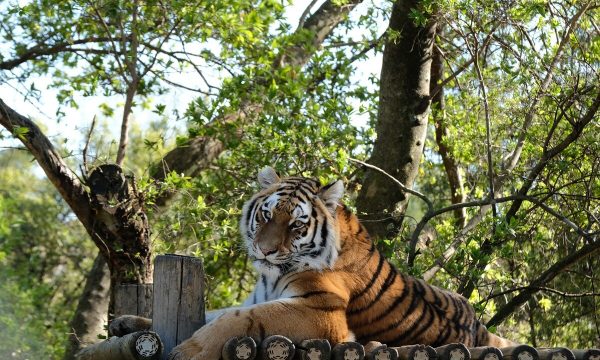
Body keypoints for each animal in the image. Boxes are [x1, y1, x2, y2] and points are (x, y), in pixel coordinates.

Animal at [112, 167, 516, 360]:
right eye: (267, 214)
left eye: (296, 224)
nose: (264, 251)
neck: (272, 275)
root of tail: (479, 328)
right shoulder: (260, 296)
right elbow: (212, 313)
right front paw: (130, 323)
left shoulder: (321, 309)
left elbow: (238, 319)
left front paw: (190, 351)